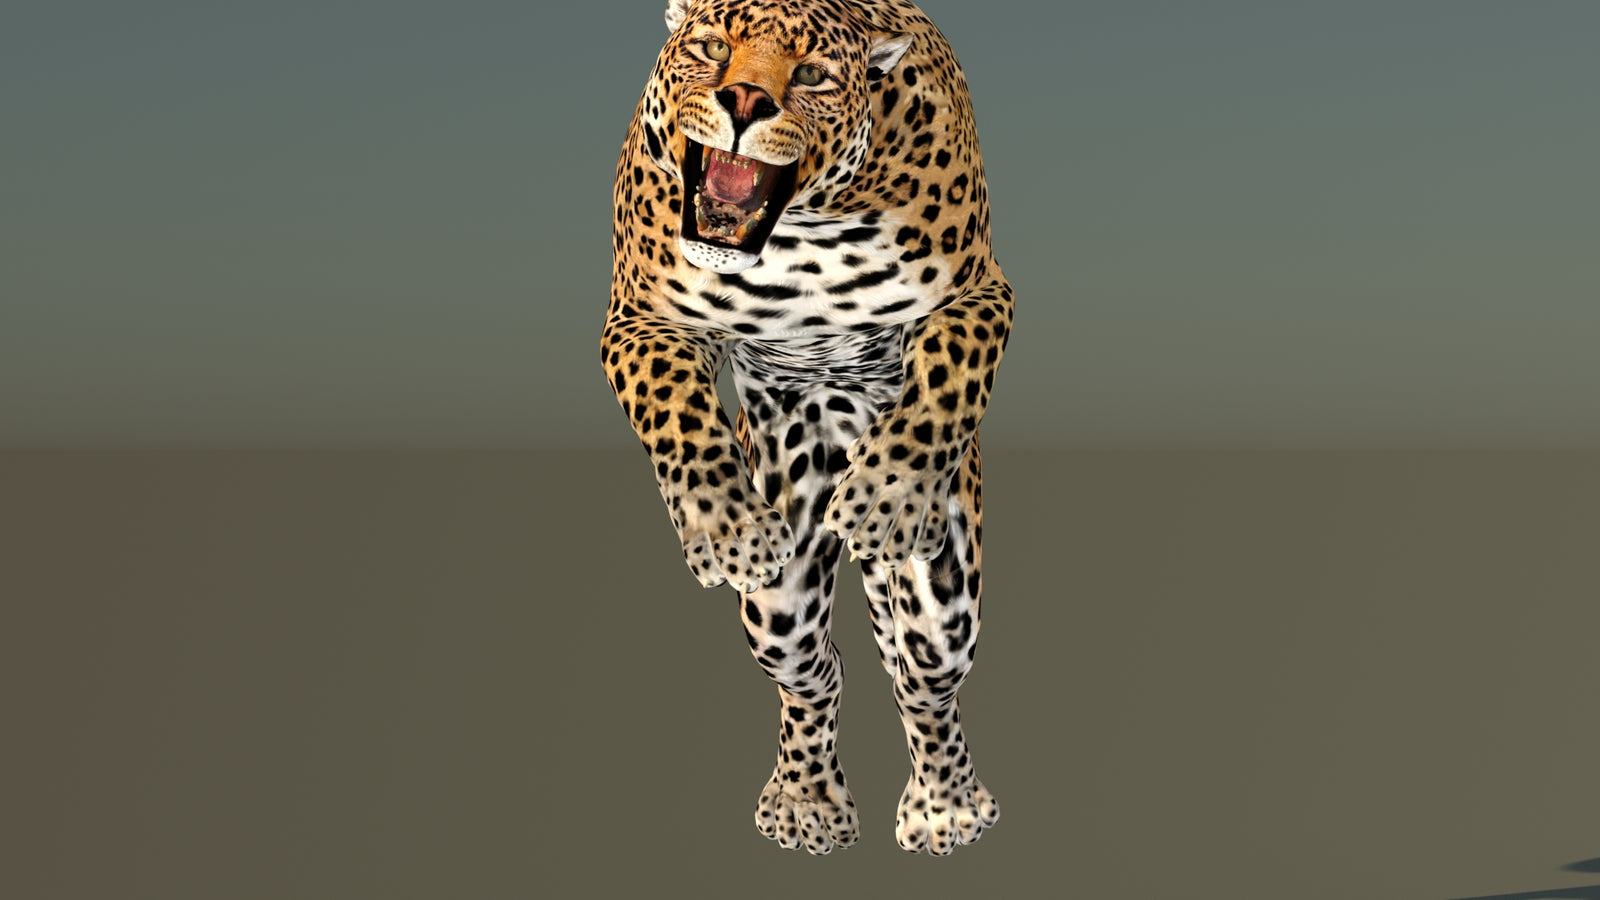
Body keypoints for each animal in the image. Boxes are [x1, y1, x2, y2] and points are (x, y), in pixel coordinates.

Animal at [600, 0, 1014, 856]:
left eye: (813, 76)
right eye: (711, 47)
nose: (744, 102)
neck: (806, 231)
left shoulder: (981, 296)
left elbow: (946, 378)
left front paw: (887, 497)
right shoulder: (641, 320)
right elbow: (677, 413)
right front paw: (726, 528)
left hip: (947, 595)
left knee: (924, 678)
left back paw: (946, 807)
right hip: (780, 599)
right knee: (818, 671)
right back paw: (805, 800)